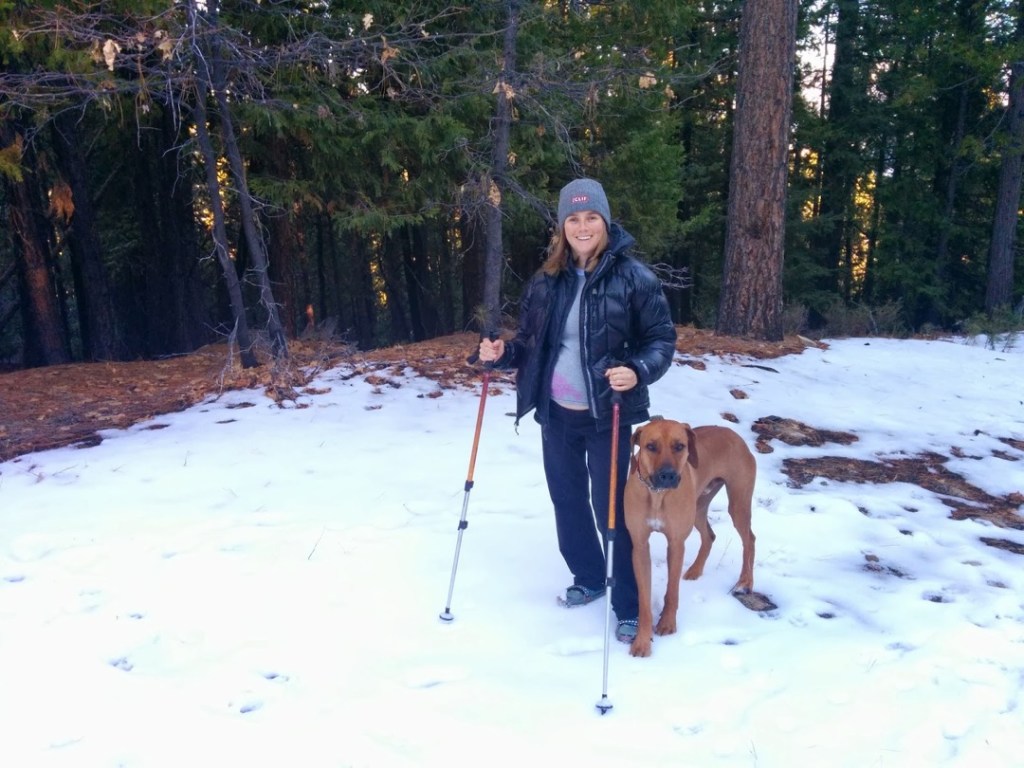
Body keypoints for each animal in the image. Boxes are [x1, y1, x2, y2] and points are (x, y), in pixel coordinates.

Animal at [618, 417, 757, 659]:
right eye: (650, 446)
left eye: (680, 446)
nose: (668, 475)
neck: (656, 494)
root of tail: (736, 435)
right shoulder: (640, 546)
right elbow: (644, 603)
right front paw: (642, 641)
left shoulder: (676, 544)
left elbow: (672, 591)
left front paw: (667, 623)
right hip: (699, 507)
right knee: (710, 535)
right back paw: (695, 570)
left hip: (738, 503)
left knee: (749, 539)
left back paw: (745, 581)